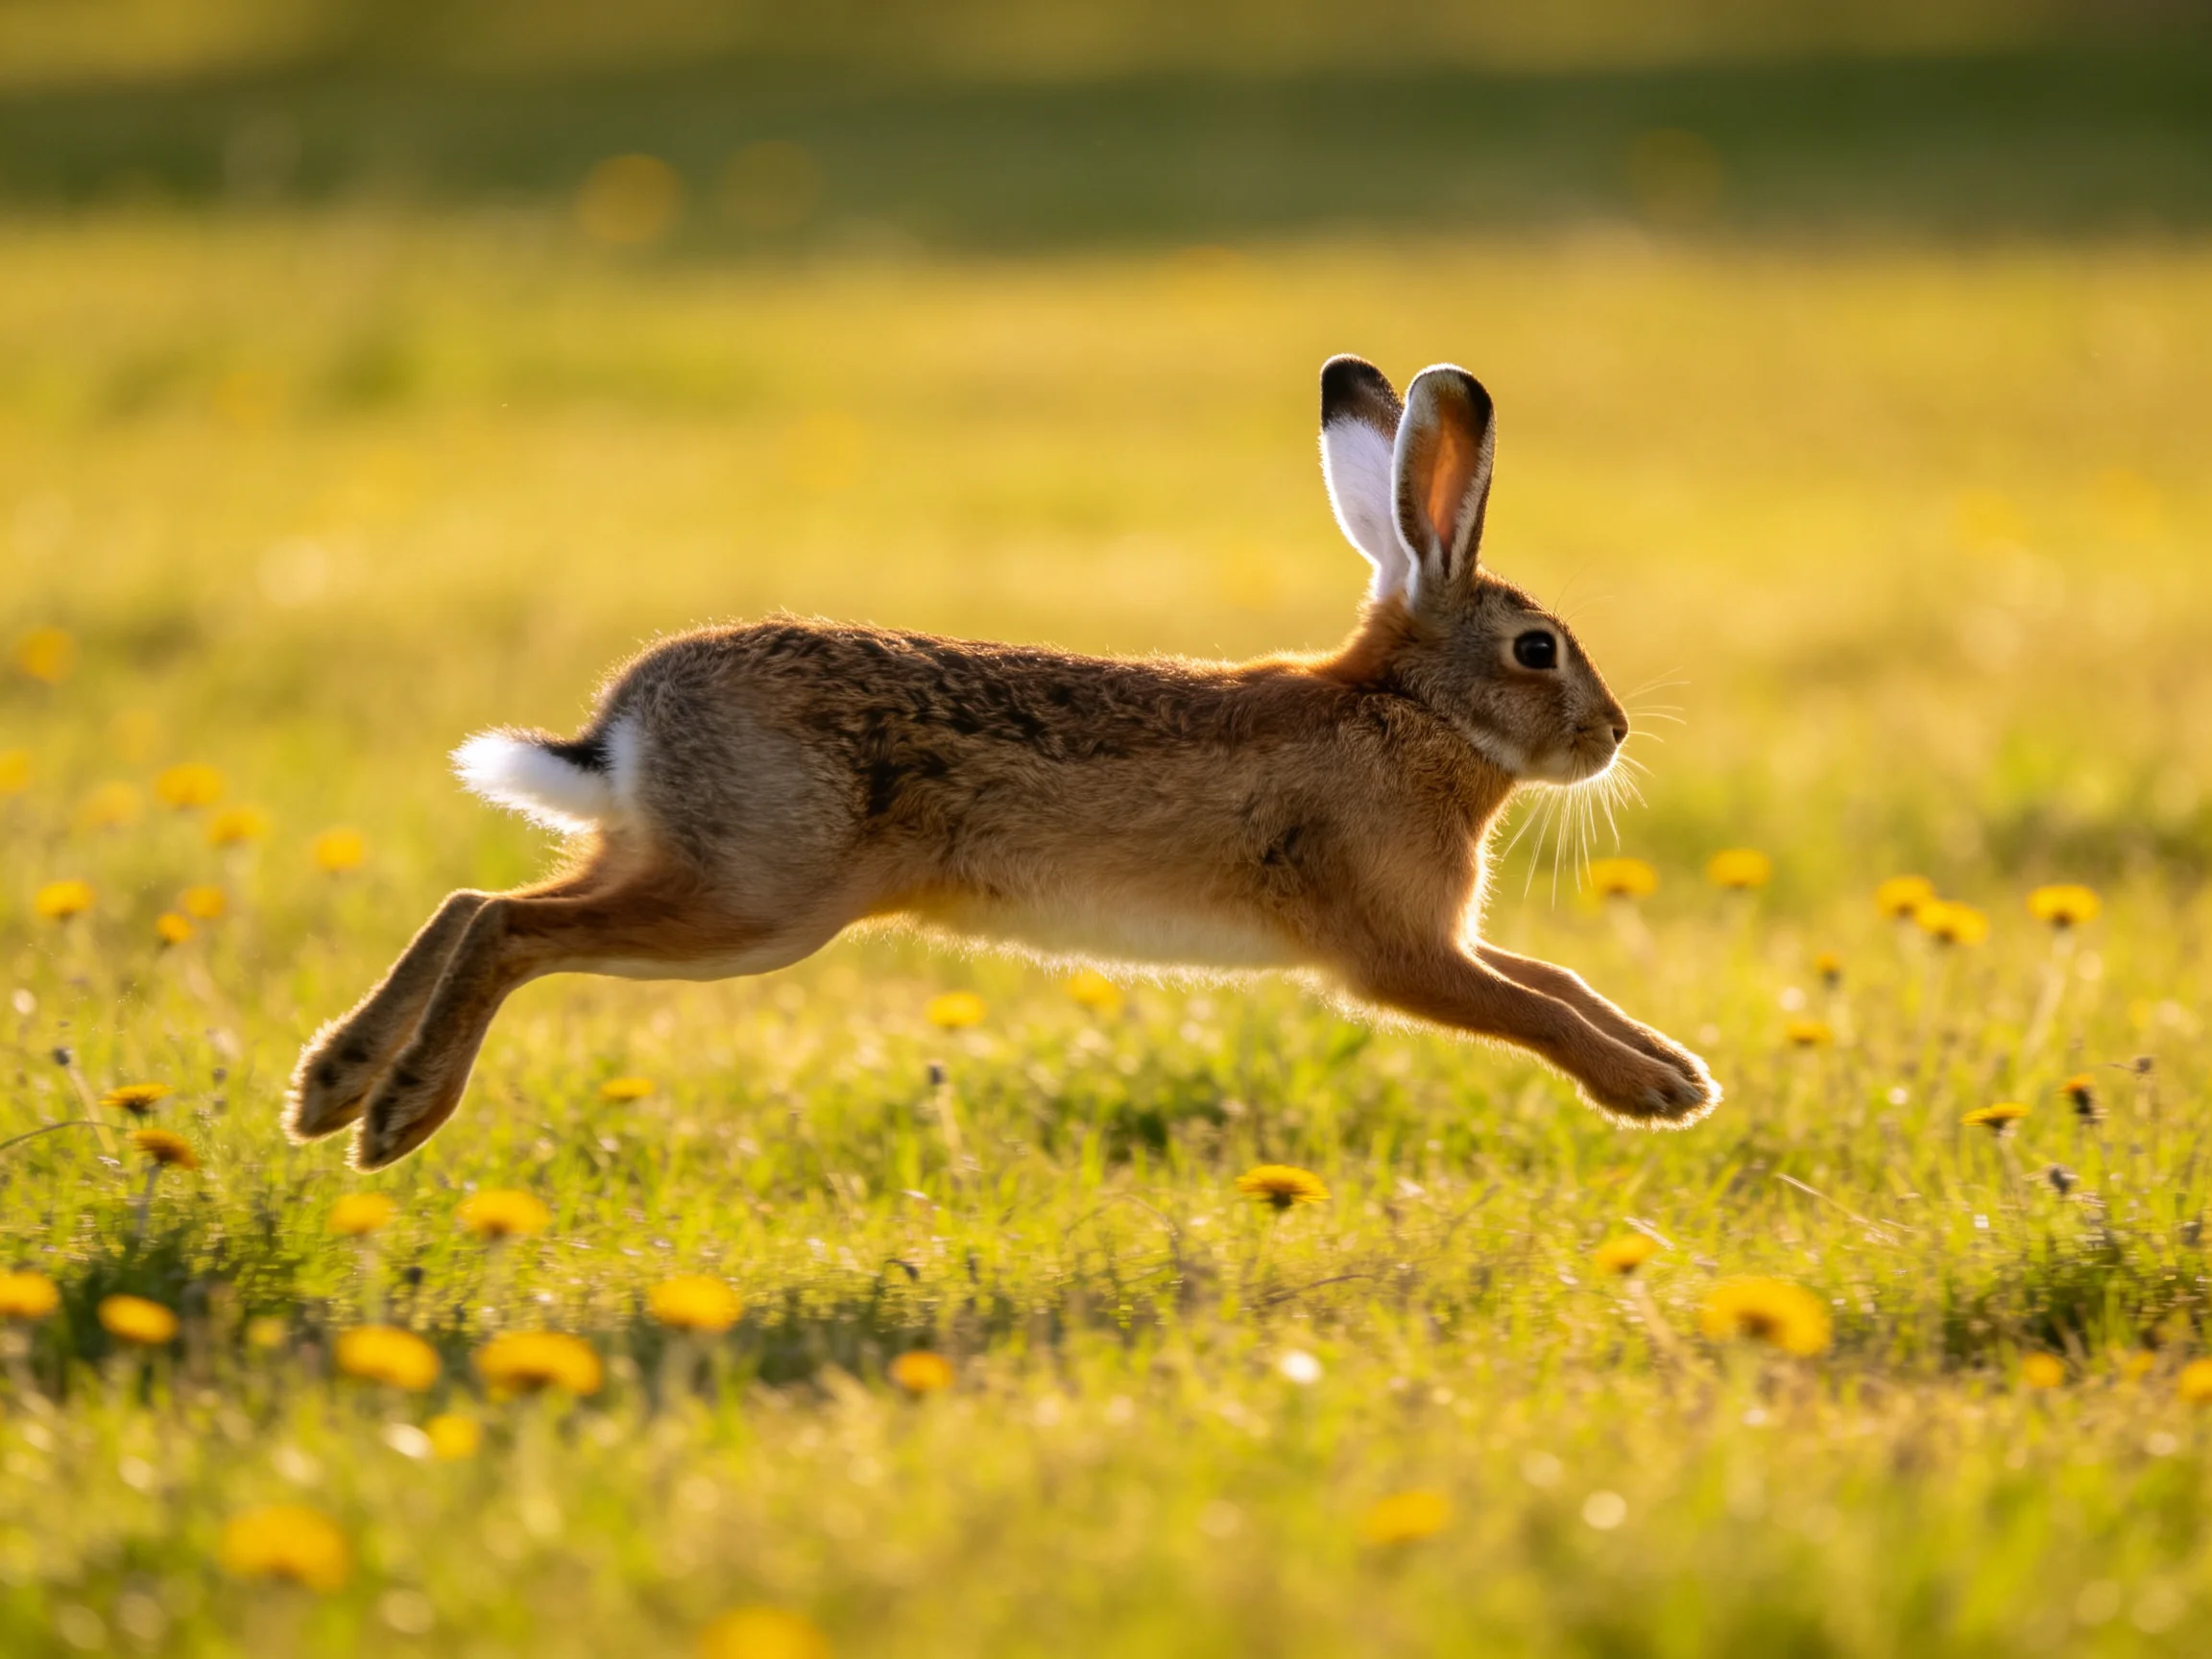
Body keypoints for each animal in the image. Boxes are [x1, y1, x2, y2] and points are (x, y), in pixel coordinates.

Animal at [288, 355, 1720, 1169]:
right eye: (1538, 649)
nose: (1611, 734)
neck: (1408, 712)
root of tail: (631, 718)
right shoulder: (1394, 952)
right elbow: (1531, 1007)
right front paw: (1652, 1093)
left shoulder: (1431, 938)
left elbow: (1554, 979)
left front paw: (1679, 1072)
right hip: (754, 903)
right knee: (510, 928)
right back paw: (398, 1116)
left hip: (673, 861)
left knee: (474, 902)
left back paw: (328, 1087)